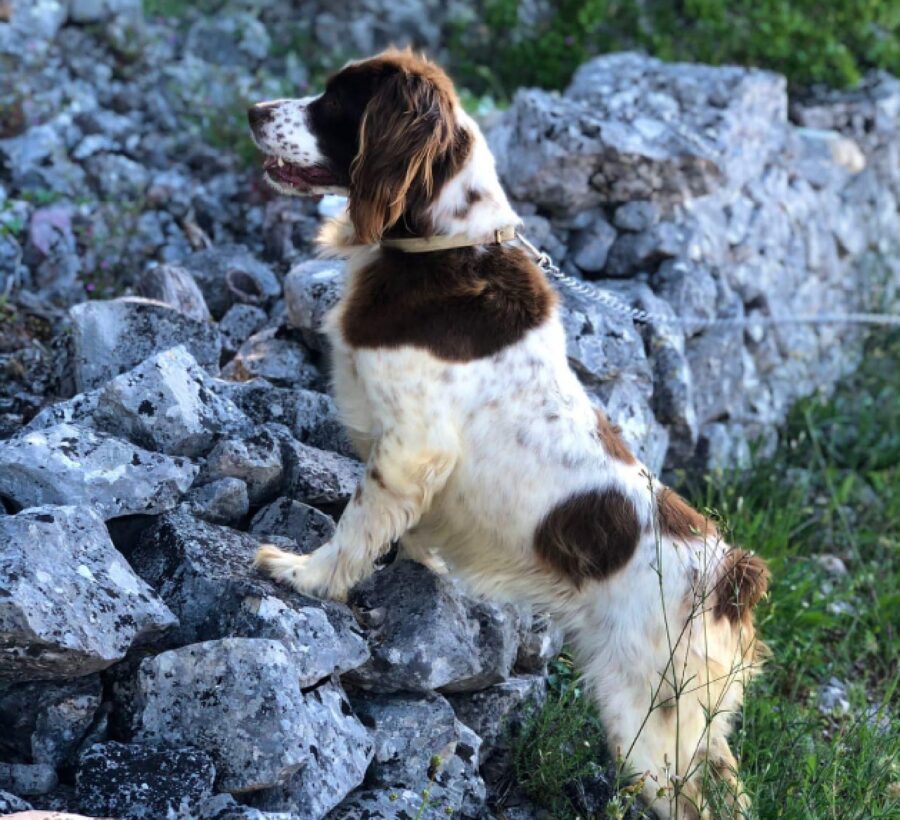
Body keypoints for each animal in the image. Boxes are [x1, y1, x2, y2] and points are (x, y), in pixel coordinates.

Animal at [250, 51, 768, 820]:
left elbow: (355, 528)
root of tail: (728, 578)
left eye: (338, 99)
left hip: (647, 726)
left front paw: (303, 575)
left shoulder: (411, 447)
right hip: (694, 728)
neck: (443, 247)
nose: (253, 110)